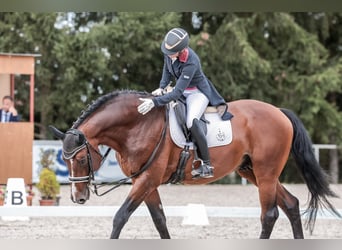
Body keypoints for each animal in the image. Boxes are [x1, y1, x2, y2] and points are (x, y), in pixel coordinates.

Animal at [49, 89, 340, 238]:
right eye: (64, 159)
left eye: (81, 158)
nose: (78, 197)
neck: (137, 125)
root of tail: (279, 111)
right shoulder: (144, 181)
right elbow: (159, 219)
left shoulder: (147, 179)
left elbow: (120, 217)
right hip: (253, 172)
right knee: (290, 205)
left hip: (266, 173)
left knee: (269, 215)